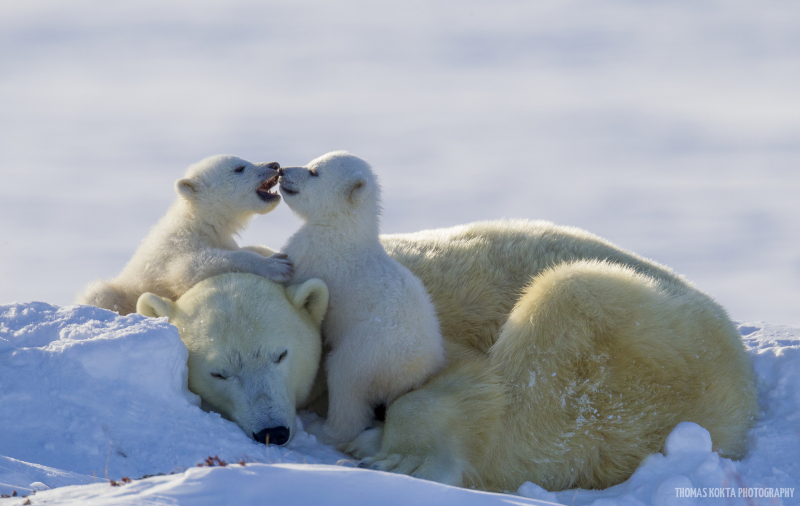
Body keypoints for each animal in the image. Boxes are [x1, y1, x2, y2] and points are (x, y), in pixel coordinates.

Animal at [75, 156, 292, 316]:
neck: (196, 221)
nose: (274, 165)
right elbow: (189, 268)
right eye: (239, 168)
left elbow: (248, 247)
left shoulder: (222, 238)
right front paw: (277, 265)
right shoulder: (178, 247)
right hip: (120, 291)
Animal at [278, 150, 446, 446]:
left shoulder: (314, 253)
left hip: (368, 352)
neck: (343, 229)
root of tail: (413, 374)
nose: (282, 171)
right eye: (311, 162)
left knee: (345, 382)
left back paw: (324, 430)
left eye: (314, 171)